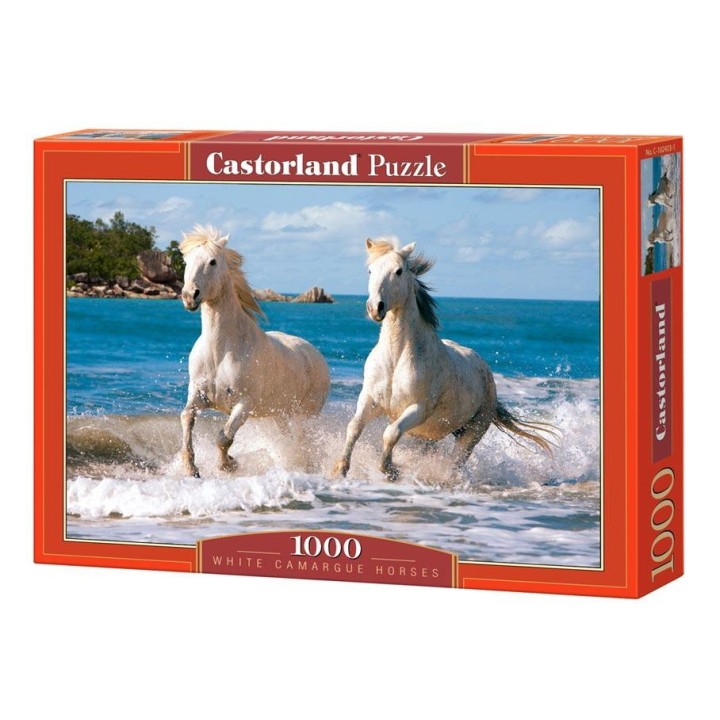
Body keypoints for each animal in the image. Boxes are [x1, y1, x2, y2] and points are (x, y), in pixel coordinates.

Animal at [178, 225, 330, 477]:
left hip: (304, 415)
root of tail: (316, 355)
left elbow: (223, 437)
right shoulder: (198, 396)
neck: (220, 351)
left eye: (212, 261)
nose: (190, 296)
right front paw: (191, 468)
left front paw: (229, 465)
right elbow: (187, 417)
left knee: (301, 441)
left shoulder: (243, 405)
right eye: (186, 261)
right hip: (279, 414)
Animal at [333, 238, 556, 480]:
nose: (375, 308)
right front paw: (340, 468)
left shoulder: (418, 409)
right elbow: (354, 426)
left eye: (399, 271)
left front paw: (391, 470)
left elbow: (390, 433)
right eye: (370, 270)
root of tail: (486, 371)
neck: (396, 358)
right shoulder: (370, 400)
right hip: (428, 437)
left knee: (456, 461)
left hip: (472, 432)